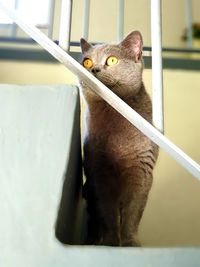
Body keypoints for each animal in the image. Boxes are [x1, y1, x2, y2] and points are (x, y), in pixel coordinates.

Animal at [79, 30, 159, 247]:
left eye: (112, 60)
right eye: (86, 62)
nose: (93, 69)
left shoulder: (141, 170)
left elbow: (133, 213)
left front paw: (130, 243)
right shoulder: (99, 170)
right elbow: (107, 212)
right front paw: (111, 242)